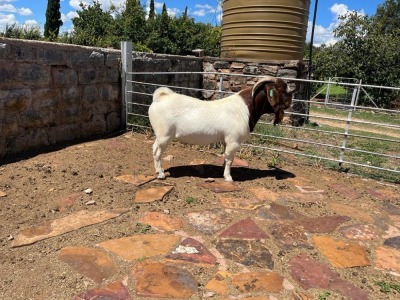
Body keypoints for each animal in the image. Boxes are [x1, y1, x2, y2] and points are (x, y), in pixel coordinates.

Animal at [149, 76, 294, 182]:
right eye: (283, 90)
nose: (290, 103)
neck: (245, 108)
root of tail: (159, 98)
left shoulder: (226, 140)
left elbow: (226, 158)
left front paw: (224, 172)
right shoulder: (233, 140)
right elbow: (230, 159)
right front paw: (228, 177)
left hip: (160, 135)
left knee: (154, 148)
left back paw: (158, 170)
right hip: (165, 134)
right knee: (157, 153)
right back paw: (161, 174)